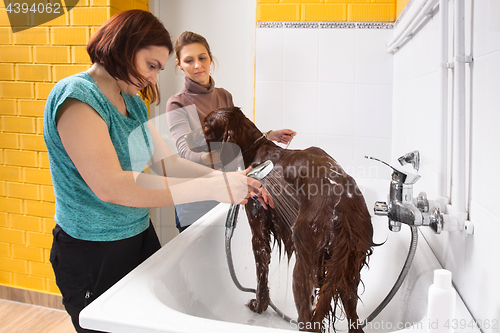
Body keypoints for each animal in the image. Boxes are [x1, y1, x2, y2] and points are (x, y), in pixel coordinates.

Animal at [193, 107, 374, 330]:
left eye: (206, 123)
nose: (184, 137)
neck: (257, 149)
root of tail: (342, 206)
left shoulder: (259, 232)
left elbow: (261, 277)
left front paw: (259, 305)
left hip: (304, 265)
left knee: (307, 317)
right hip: (348, 269)